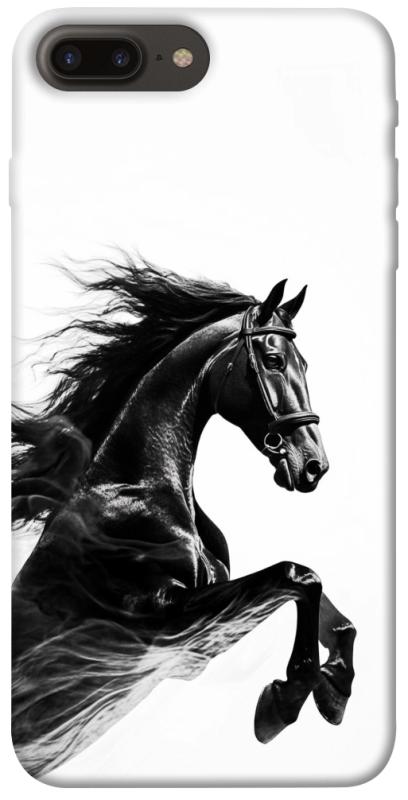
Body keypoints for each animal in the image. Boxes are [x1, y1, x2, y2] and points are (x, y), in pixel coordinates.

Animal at [12, 259, 356, 778]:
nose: (314, 465)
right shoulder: (164, 623)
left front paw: (334, 691)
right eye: (274, 360)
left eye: (306, 364)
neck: (138, 490)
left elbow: (327, 608)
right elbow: (298, 576)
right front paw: (283, 703)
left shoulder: (197, 638)